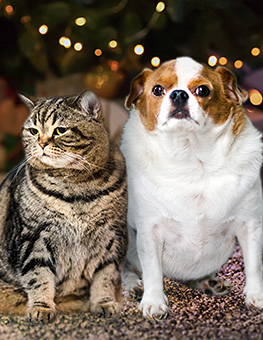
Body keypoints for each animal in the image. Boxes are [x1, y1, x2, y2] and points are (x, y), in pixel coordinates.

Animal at [0, 89, 128, 322]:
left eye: (60, 130)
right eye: (33, 131)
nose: (41, 144)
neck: (77, 190)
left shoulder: (111, 236)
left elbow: (105, 276)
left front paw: (104, 303)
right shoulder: (34, 237)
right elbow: (38, 275)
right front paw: (41, 307)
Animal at [121, 57, 263, 320]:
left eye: (203, 90)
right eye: (158, 89)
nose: (178, 94)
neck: (192, 159)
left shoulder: (250, 226)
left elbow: (254, 265)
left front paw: (256, 296)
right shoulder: (149, 231)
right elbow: (152, 269)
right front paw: (153, 301)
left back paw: (208, 283)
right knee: (123, 269)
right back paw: (135, 286)